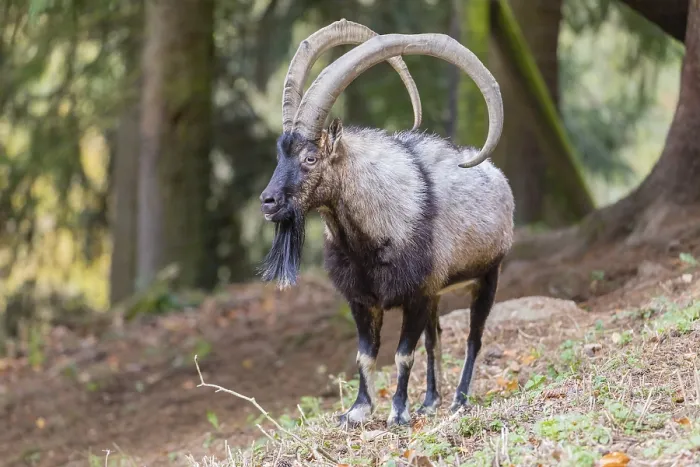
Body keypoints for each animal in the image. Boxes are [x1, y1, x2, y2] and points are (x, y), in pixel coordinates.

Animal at [258, 20, 514, 427]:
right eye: (281, 154)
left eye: (311, 157)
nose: (268, 202)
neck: (367, 240)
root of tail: (495, 174)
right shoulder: (364, 300)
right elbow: (366, 354)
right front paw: (357, 410)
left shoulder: (417, 293)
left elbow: (402, 353)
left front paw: (397, 412)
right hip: (439, 293)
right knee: (436, 337)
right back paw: (430, 401)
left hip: (488, 274)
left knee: (473, 337)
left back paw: (458, 400)